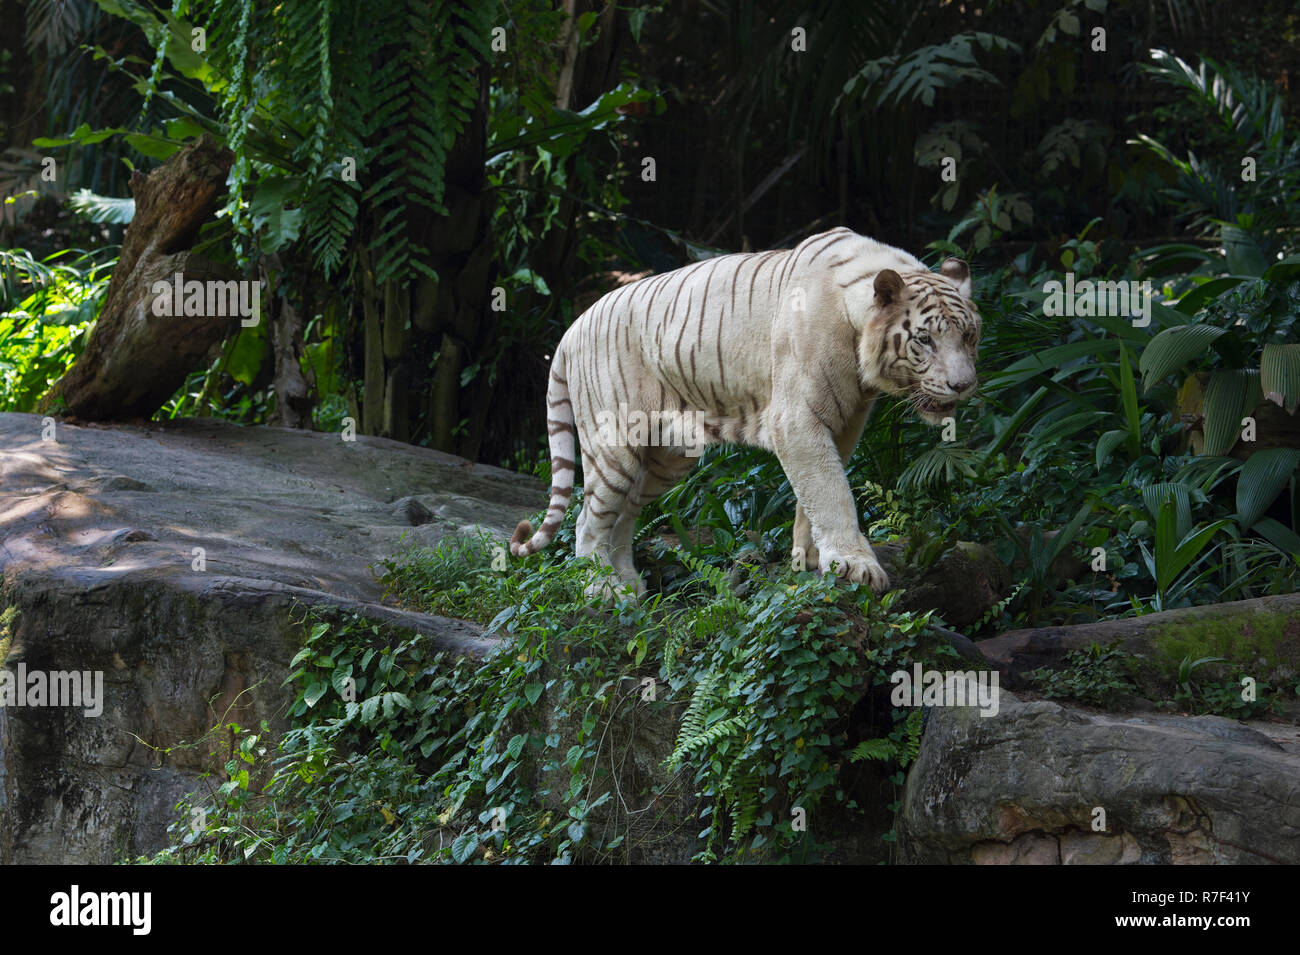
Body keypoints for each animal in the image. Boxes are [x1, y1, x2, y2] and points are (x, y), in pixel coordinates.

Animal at [509, 226, 981, 600]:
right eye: (924, 339)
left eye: (969, 336)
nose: (963, 385)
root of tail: (572, 327)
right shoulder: (797, 420)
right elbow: (832, 491)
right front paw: (855, 566)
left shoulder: (845, 424)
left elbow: (814, 493)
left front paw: (811, 559)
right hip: (615, 446)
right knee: (587, 520)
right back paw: (603, 589)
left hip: (666, 457)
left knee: (622, 516)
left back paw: (630, 584)